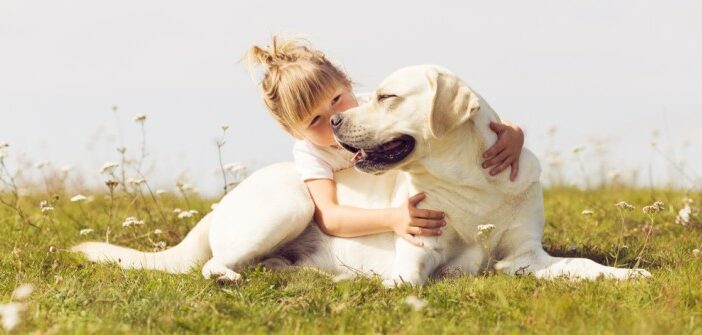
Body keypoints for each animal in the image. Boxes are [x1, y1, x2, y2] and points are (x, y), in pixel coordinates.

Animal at [73, 65, 656, 286]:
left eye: (388, 96)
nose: (334, 120)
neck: (470, 185)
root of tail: (220, 205)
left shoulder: (530, 254)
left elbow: (578, 264)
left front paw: (627, 275)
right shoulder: (414, 262)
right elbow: (422, 276)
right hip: (292, 201)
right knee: (215, 264)